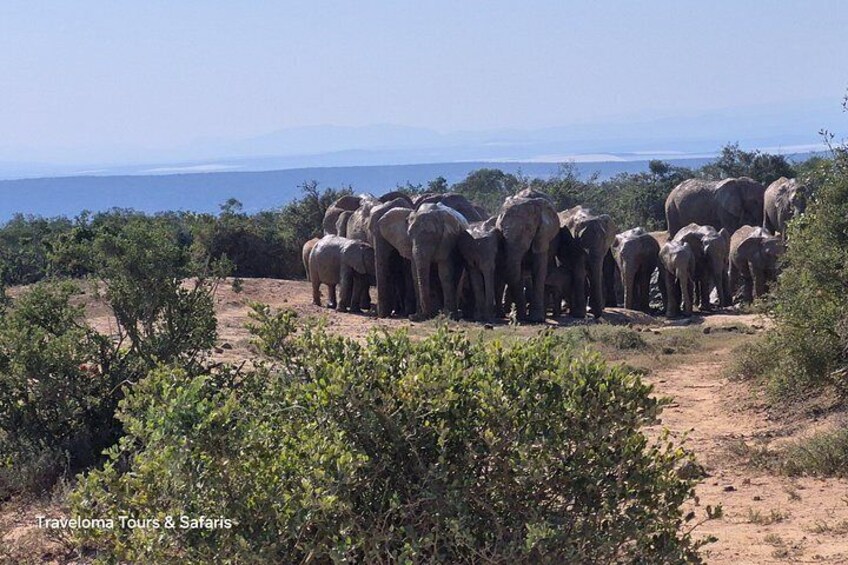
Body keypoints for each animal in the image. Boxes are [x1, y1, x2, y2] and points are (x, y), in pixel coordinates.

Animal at [496, 189, 560, 322]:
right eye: (500, 228)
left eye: (528, 229)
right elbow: (518, 273)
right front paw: (521, 318)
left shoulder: (543, 235)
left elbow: (539, 270)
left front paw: (536, 319)